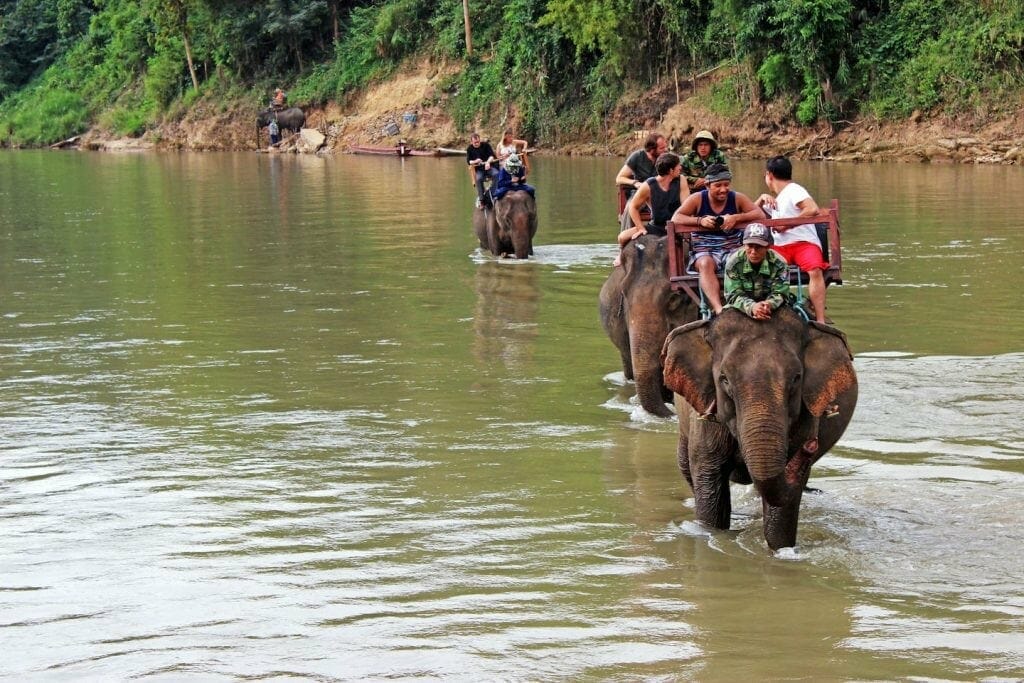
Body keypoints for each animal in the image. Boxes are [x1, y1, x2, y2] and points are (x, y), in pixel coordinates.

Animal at [659, 305, 860, 548]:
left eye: (796, 378)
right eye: (724, 379)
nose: (811, 446)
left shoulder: (804, 418)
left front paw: (780, 550)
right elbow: (709, 479)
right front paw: (713, 534)